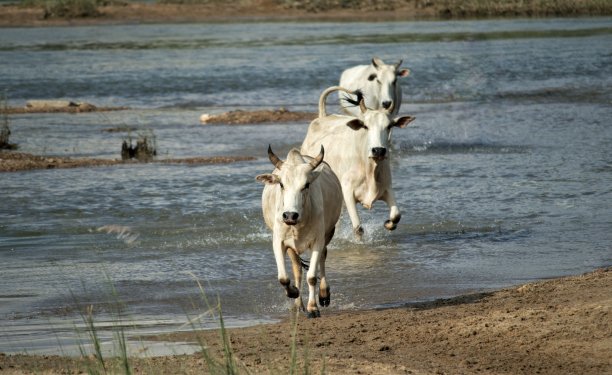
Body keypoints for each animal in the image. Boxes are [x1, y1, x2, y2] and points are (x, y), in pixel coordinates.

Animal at [256, 145, 342, 318]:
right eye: (281, 184)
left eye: (306, 185)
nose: (290, 215)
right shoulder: (279, 242)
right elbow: (283, 278)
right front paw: (293, 293)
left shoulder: (317, 241)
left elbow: (312, 277)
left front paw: (313, 308)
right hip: (292, 247)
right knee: (297, 269)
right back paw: (297, 304)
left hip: (328, 233)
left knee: (322, 258)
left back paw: (324, 294)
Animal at [302, 86, 416, 238]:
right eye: (365, 126)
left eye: (389, 126)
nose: (378, 150)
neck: (369, 168)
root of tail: (322, 117)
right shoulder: (347, 191)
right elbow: (358, 228)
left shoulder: (387, 187)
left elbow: (396, 215)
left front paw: (388, 224)